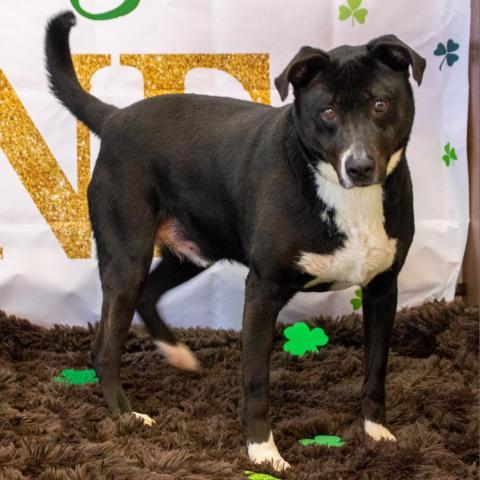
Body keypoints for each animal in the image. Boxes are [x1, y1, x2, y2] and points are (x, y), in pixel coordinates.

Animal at [47, 10, 426, 468]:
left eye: (380, 104)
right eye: (328, 111)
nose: (360, 167)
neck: (341, 193)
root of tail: (115, 118)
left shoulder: (383, 290)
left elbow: (376, 369)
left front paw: (376, 431)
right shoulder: (263, 289)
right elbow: (257, 380)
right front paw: (263, 451)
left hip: (194, 251)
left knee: (148, 294)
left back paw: (176, 354)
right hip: (127, 254)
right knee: (106, 345)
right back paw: (127, 416)